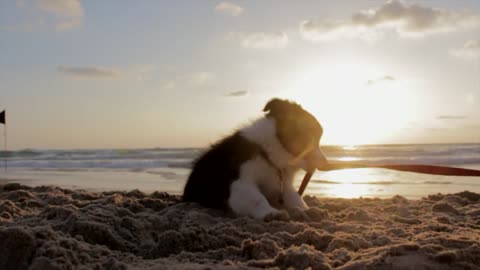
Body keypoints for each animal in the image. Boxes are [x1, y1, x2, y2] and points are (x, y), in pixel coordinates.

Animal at [182, 98, 328, 219]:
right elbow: (257, 198)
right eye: (309, 136)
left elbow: (296, 198)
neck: (267, 152)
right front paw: (272, 213)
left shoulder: (283, 185)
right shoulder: (239, 181)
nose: (325, 163)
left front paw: (307, 210)